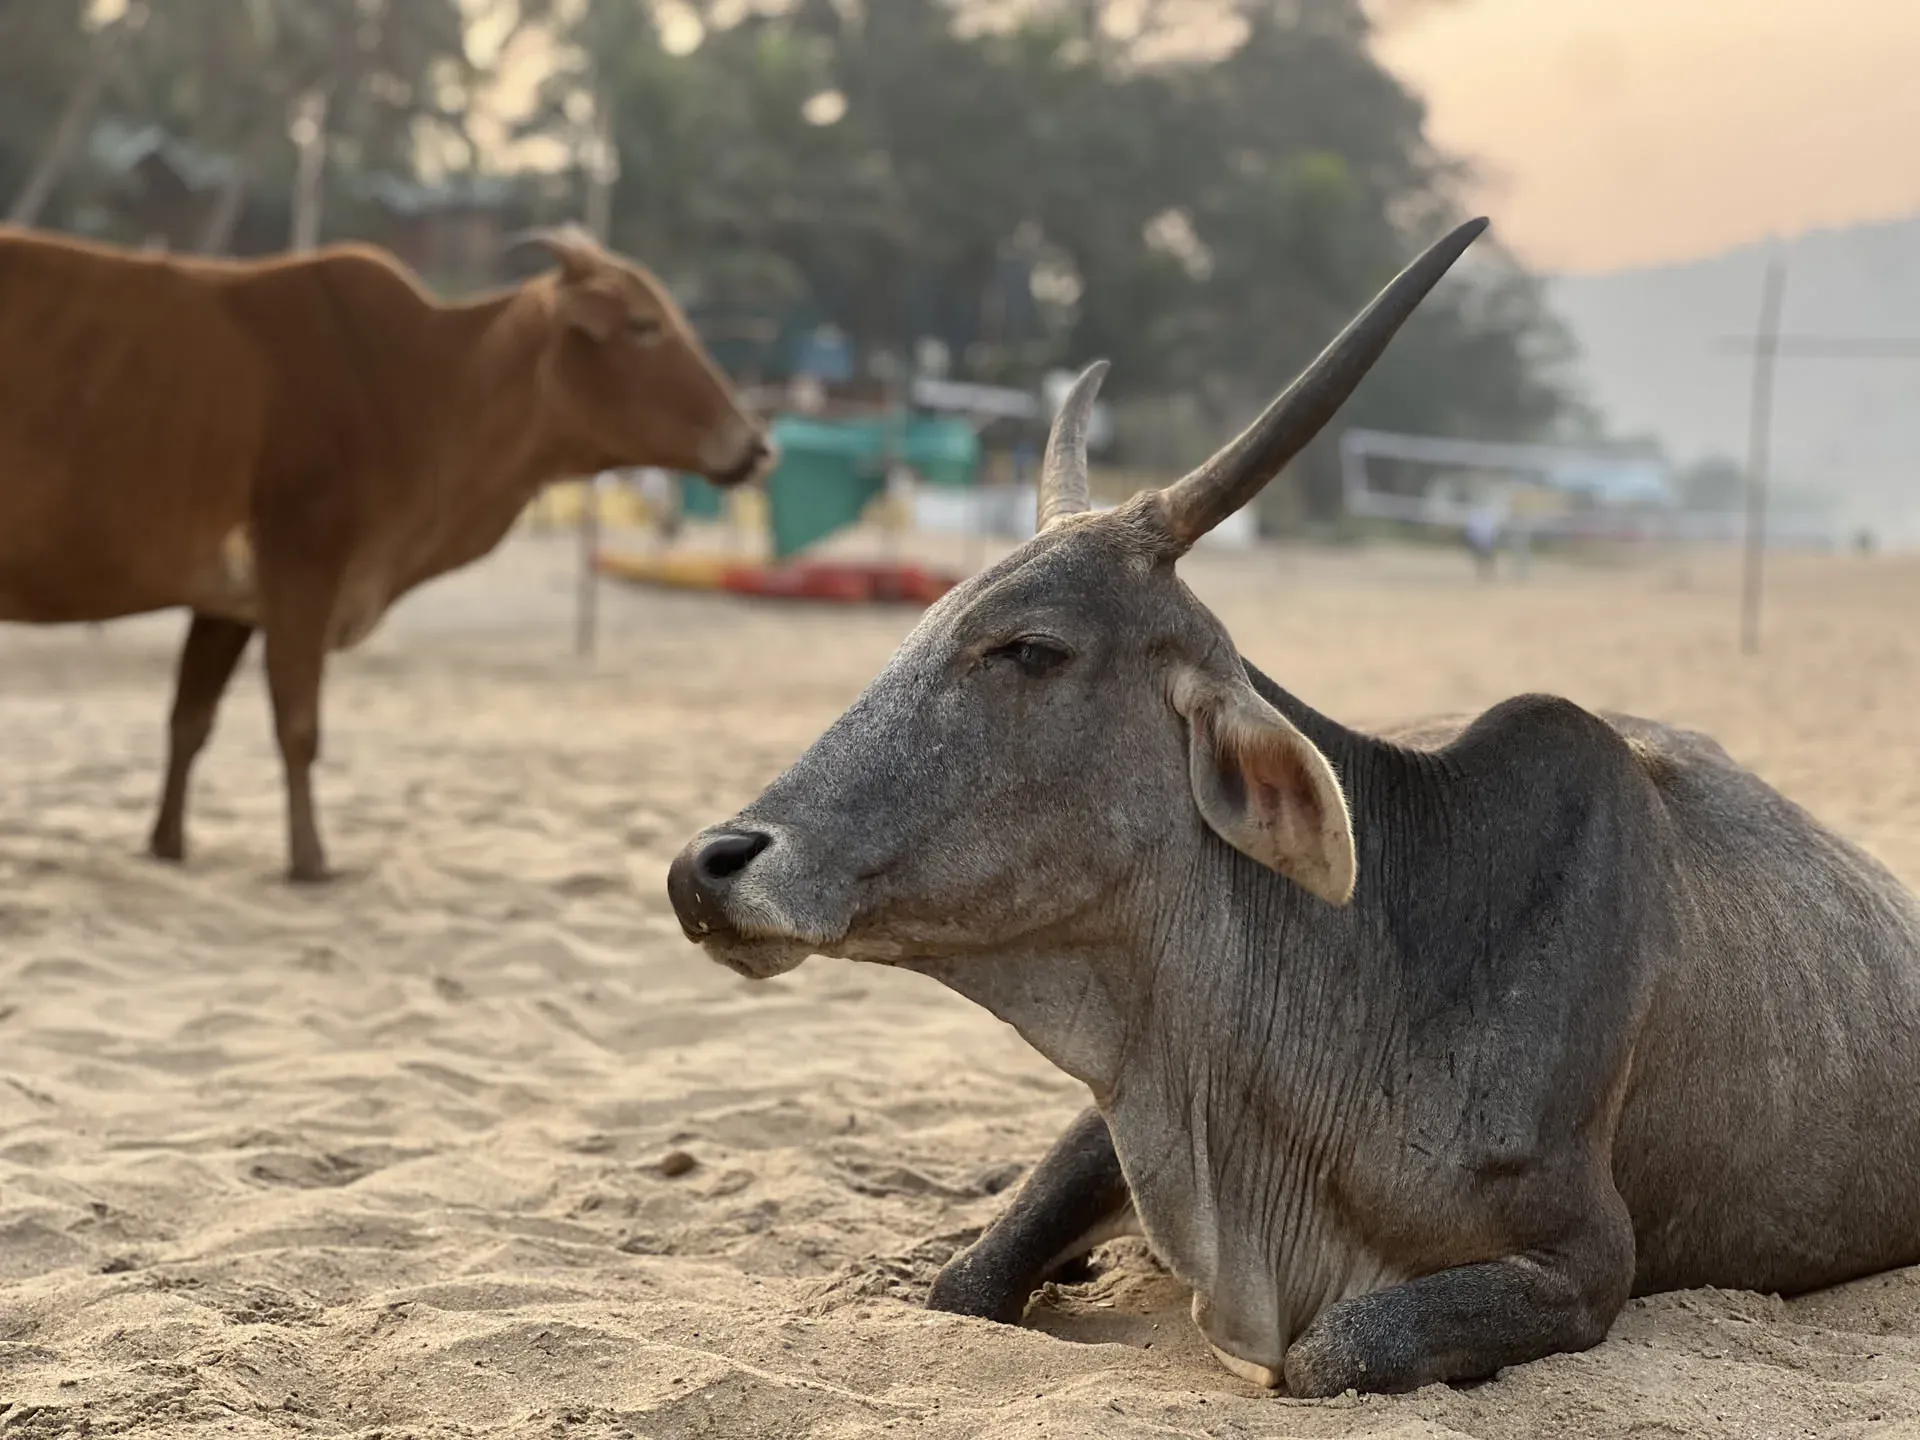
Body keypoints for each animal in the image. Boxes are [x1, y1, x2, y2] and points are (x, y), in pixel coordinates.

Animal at [0, 223, 773, 881]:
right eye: (644, 325)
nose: (755, 445)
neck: (423, 386)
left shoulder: (226, 602)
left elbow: (189, 721)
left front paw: (166, 844)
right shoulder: (301, 568)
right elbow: (298, 726)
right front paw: (310, 860)